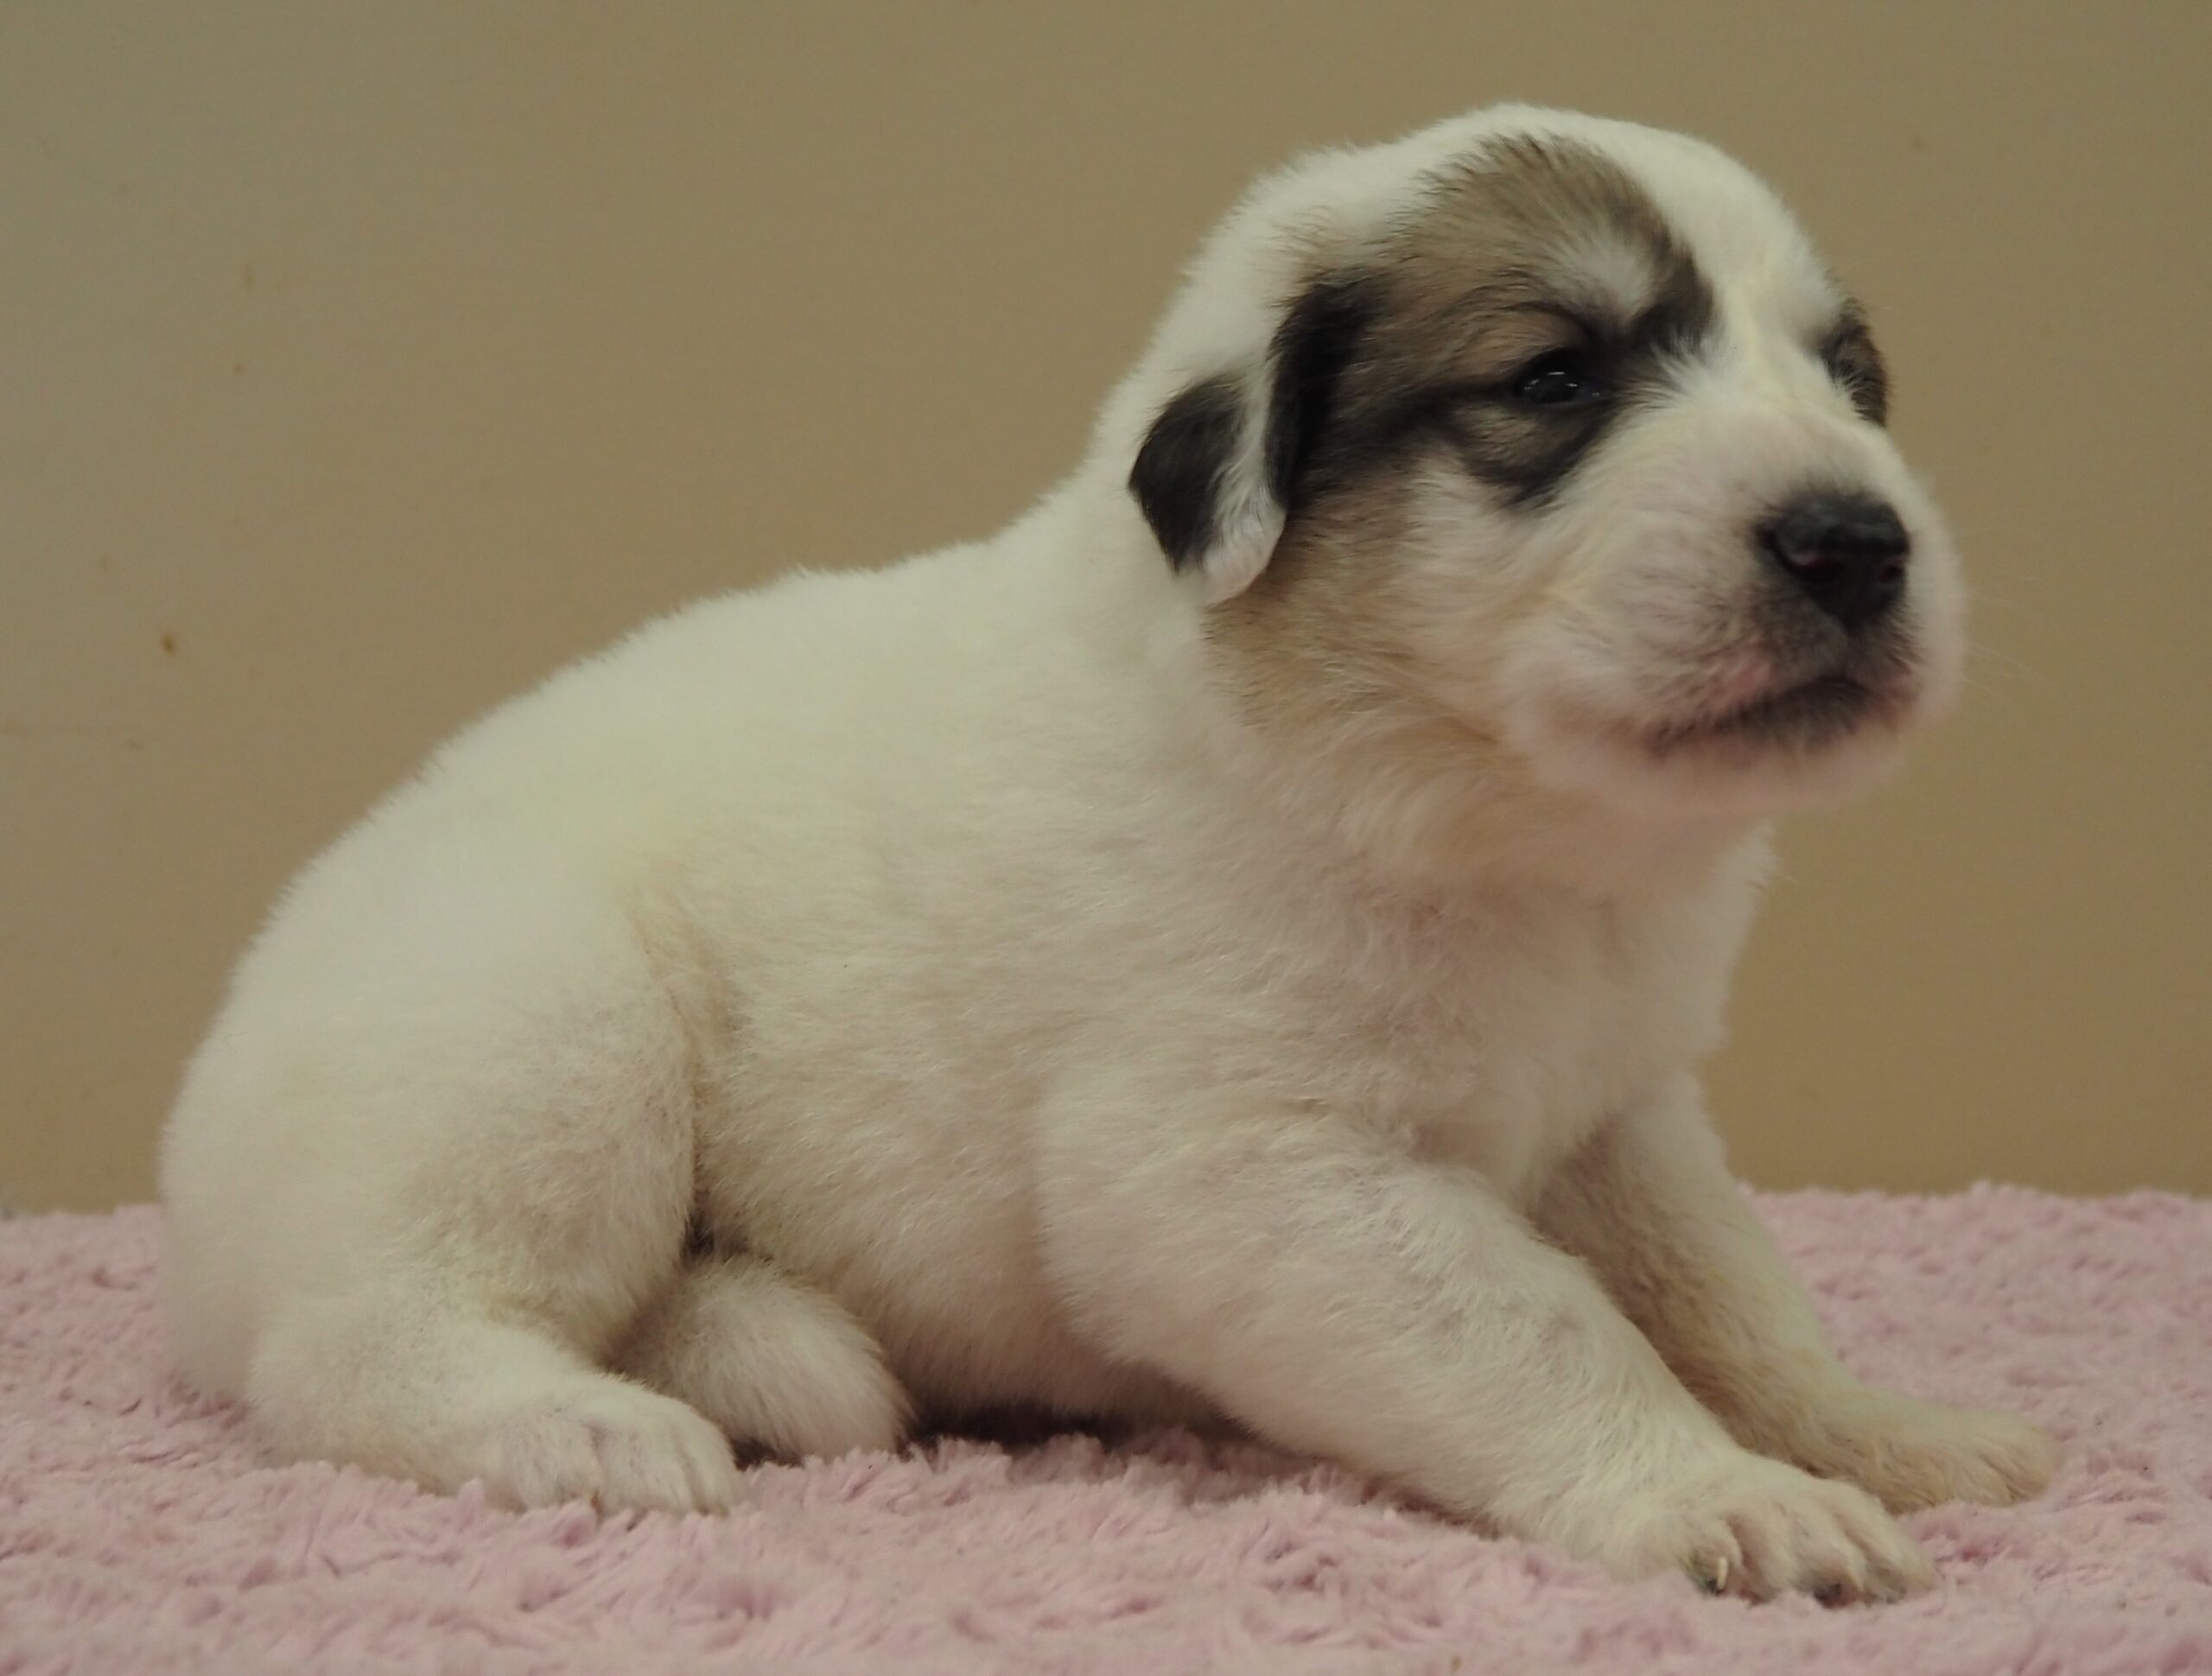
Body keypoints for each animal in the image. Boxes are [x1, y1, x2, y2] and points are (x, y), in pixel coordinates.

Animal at [161, 105, 2056, 1602]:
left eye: (1852, 381)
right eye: (1554, 377)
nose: (1854, 539)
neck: (1475, 821)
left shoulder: (1620, 1111)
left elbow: (1725, 1290)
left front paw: (1878, 1429)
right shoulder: (1237, 1169)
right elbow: (1539, 1324)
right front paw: (1723, 1496)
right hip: (538, 1023)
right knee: (354, 1334)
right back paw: (586, 1427)